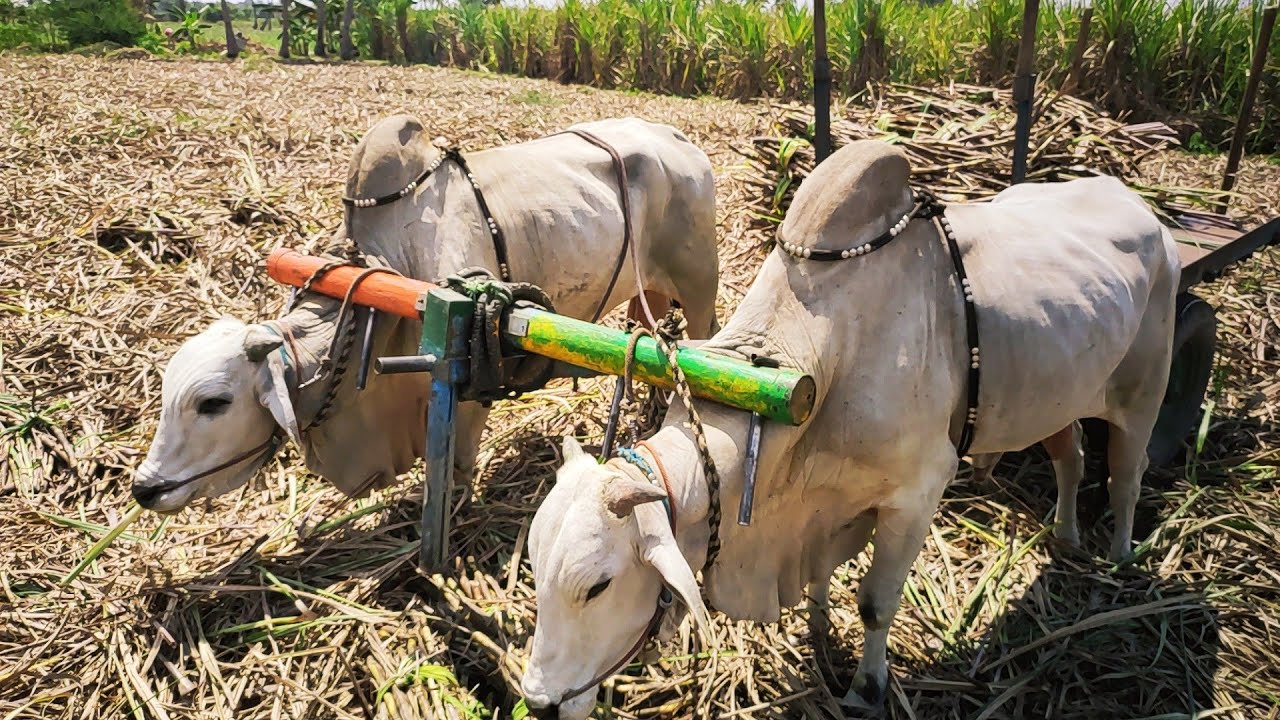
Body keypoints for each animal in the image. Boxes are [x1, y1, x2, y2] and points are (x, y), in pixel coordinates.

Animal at [130, 115, 720, 513]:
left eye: (213, 403)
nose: (144, 488)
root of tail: (678, 139)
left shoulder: (468, 388)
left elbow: (457, 467)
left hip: (700, 286)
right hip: (648, 290)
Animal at [519, 140, 1179, 718]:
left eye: (598, 586)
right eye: (534, 567)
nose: (540, 702)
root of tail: (1140, 205)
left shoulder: (917, 493)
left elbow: (875, 603)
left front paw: (865, 687)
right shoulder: (823, 507)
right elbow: (820, 578)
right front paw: (816, 634)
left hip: (1144, 389)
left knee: (1127, 475)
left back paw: (1119, 558)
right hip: (1060, 393)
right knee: (1071, 457)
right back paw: (1066, 535)